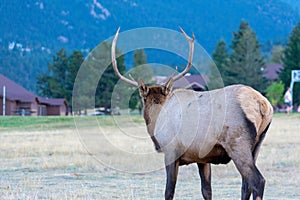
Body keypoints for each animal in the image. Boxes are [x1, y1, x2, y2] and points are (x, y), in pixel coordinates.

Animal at [111, 27, 274, 200]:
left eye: (142, 100)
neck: (157, 119)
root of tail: (263, 105)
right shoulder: (202, 158)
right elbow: (206, 191)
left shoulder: (170, 152)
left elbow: (169, 191)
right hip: (256, 145)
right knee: (245, 185)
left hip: (237, 143)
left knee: (257, 180)